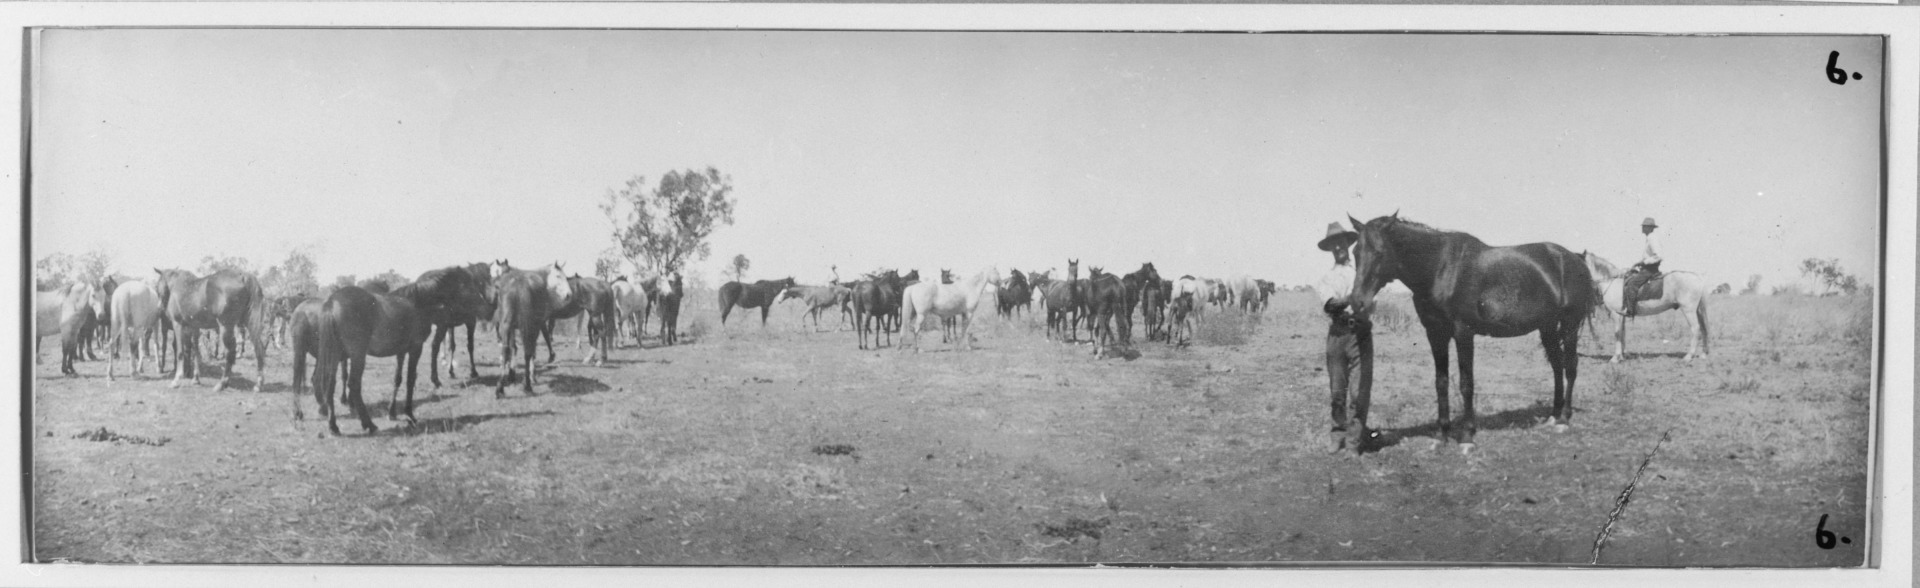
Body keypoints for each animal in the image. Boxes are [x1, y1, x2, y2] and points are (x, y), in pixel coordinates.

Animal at [312, 286, 433, 434]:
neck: (417, 301)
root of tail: (332, 302)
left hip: (334, 355)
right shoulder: (416, 348)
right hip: (357, 355)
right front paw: (409, 415)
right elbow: (410, 380)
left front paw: (392, 413)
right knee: (353, 385)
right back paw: (368, 424)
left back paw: (333, 426)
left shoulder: (401, 351)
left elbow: (397, 379)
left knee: (329, 383)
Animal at [1344, 213, 1597, 451]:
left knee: (1570, 366)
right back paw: (1553, 416)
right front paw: (1442, 436)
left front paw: (1467, 437)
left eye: (1379, 252)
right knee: (1556, 365)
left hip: (1569, 325)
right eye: (1355, 252)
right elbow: (1441, 382)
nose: (1358, 302)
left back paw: (1564, 419)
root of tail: (1575, 258)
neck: (1440, 268)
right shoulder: (1435, 334)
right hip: (1547, 328)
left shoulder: (1463, 333)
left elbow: (1466, 383)